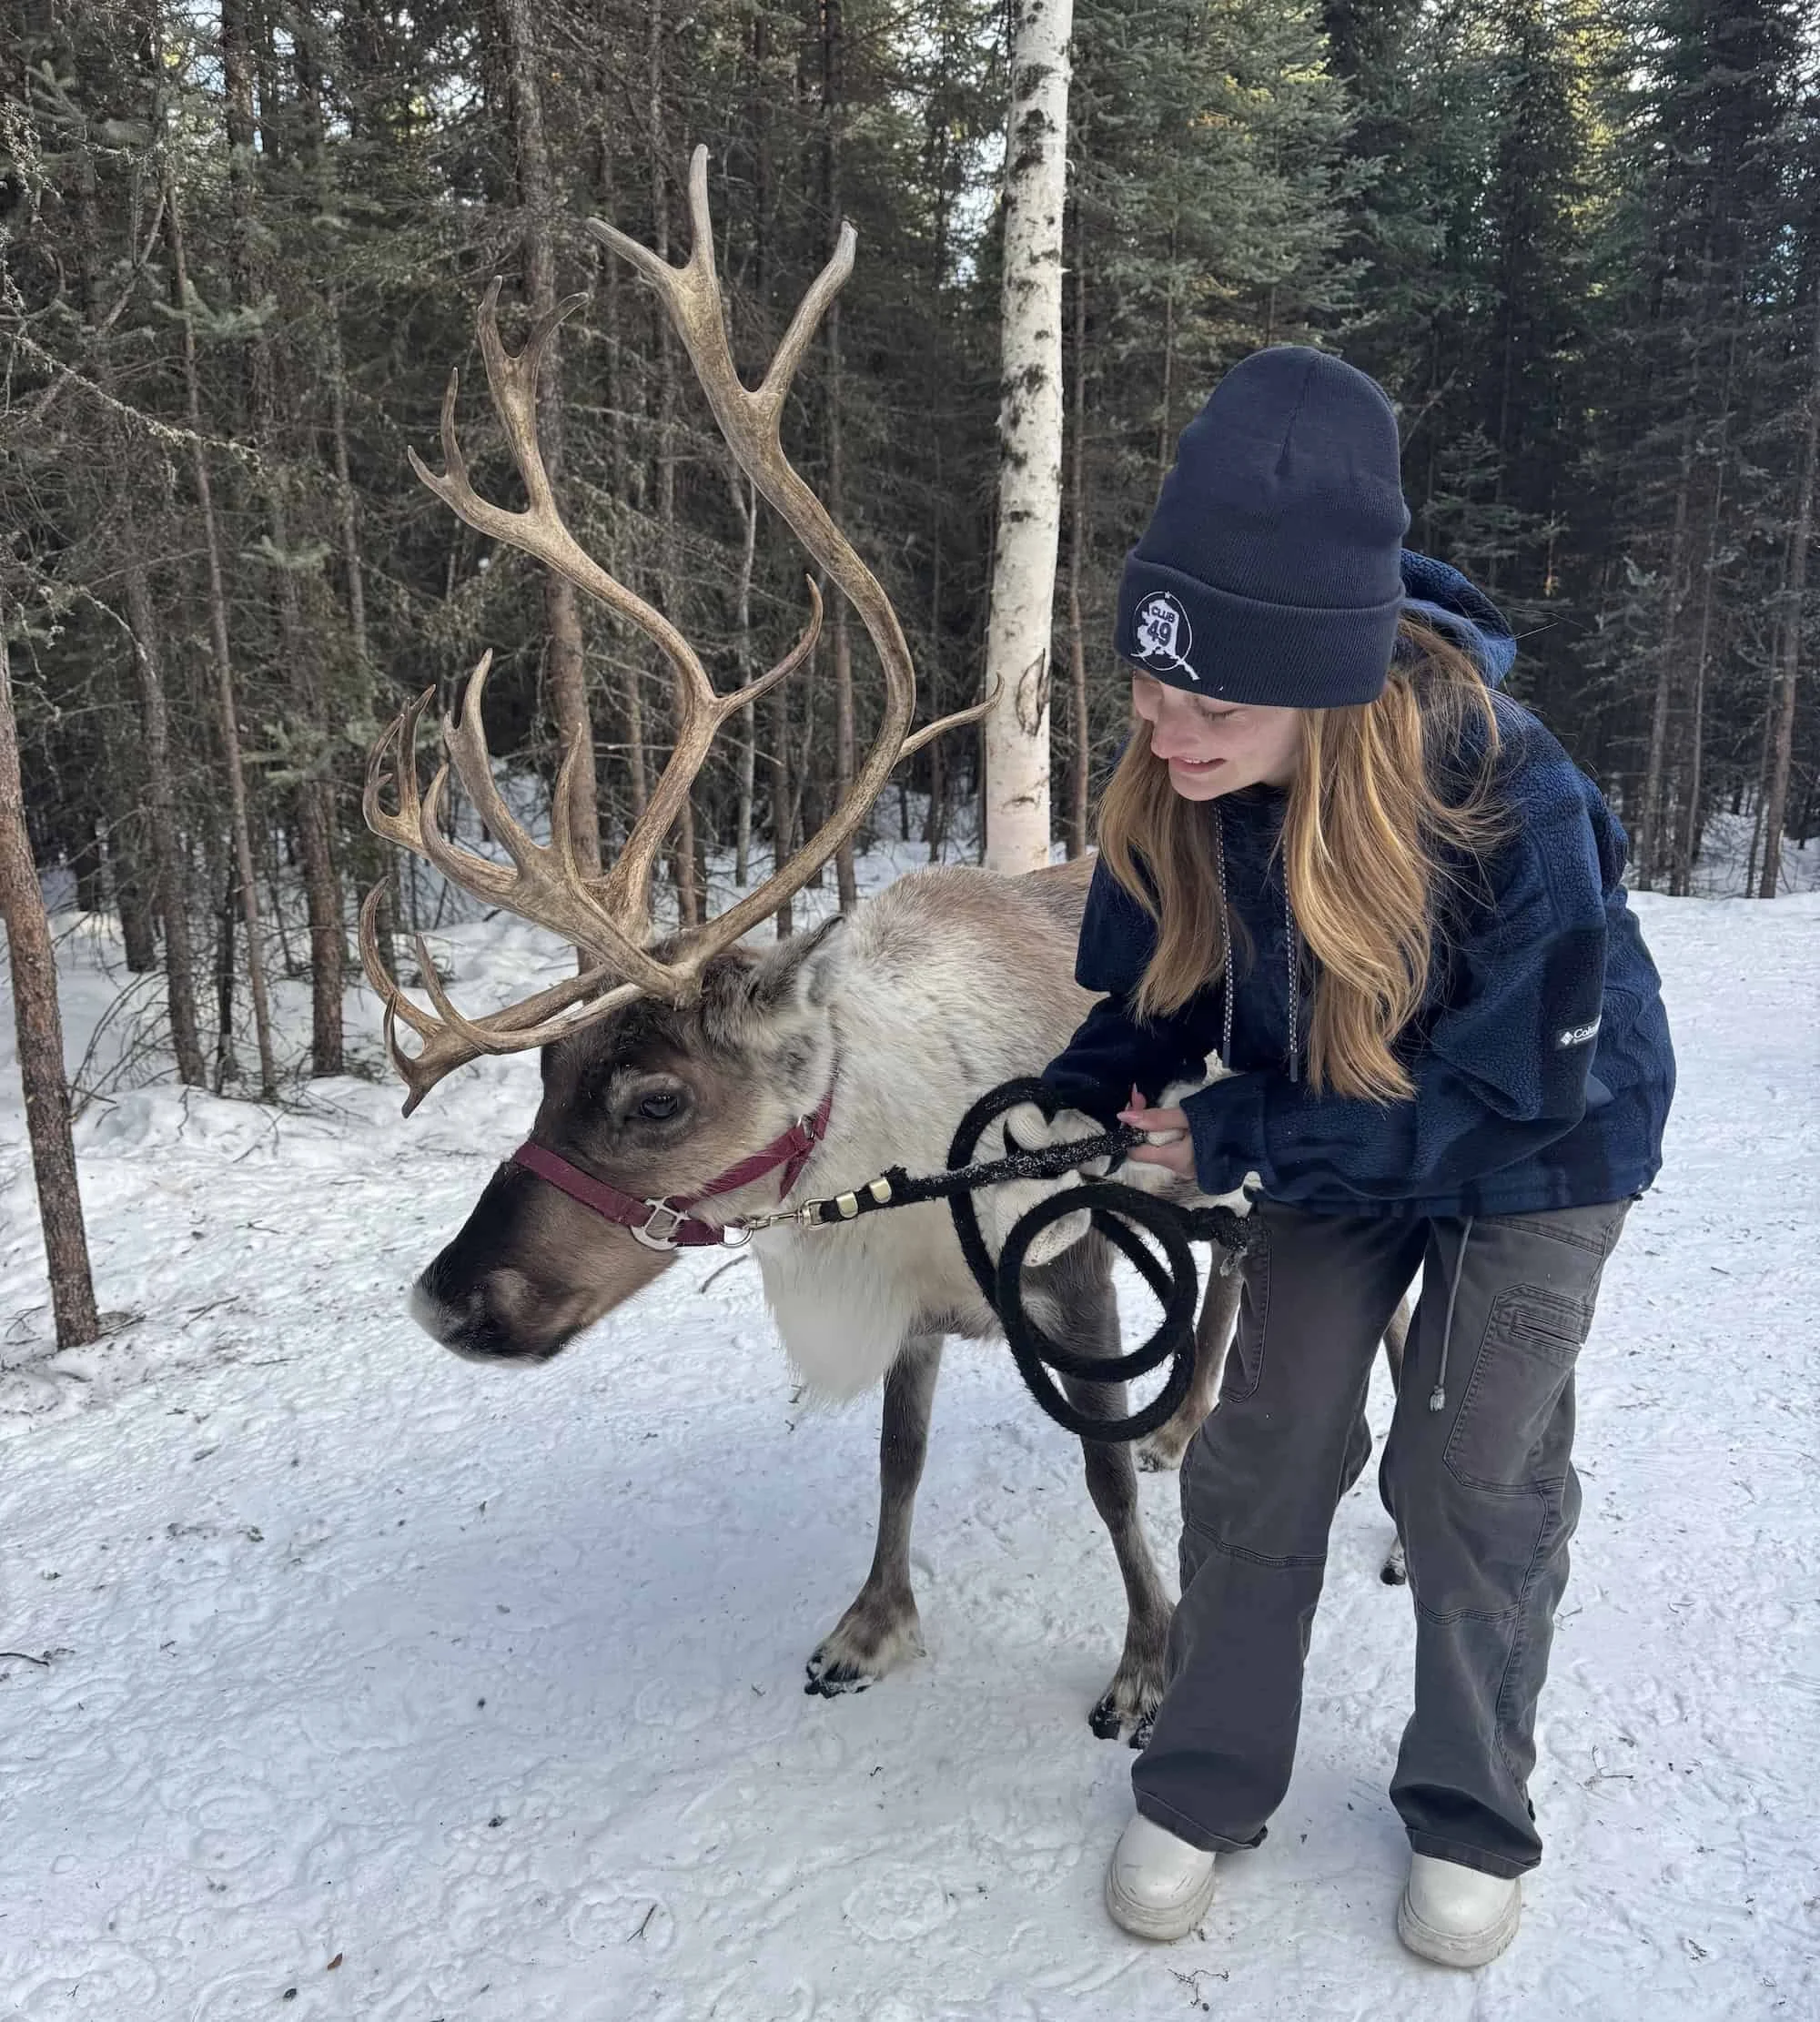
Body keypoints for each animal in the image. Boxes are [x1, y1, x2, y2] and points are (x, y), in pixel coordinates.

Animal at [365, 150, 1401, 1751]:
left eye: (655, 1096)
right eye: (543, 1076)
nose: (445, 1297)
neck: (891, 1145)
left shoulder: (1073, 1253)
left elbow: (1097, 1470)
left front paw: (1147, 1658)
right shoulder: (916, 1307)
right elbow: (898, 1458)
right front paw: (869, 1623)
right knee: (1229, 1266)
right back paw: (1184, 1414)